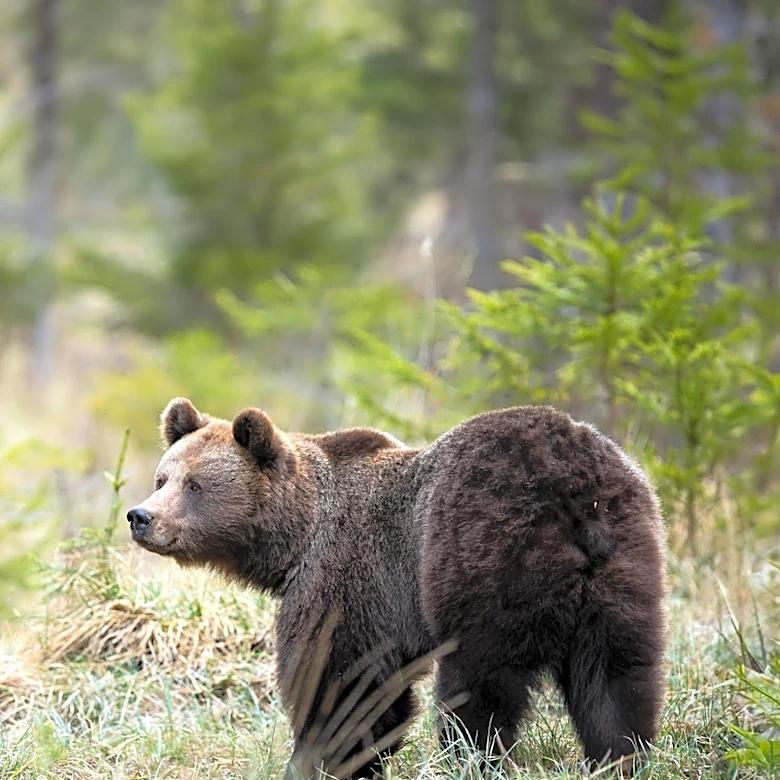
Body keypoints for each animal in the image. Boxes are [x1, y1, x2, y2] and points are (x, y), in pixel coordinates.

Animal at [127, 398, 667, 779]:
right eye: (162, 477)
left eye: (195, 485)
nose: (140, 516)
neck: (295, 540)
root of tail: (574, 488)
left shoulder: (346, 579)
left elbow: (343, 682)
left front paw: (317, 761)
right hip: (625, 562)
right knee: (617, 676)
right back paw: (619, 757)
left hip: (482, 554)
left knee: (479, 683)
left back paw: (471, 758)